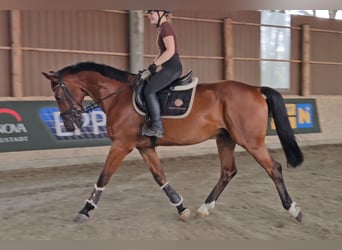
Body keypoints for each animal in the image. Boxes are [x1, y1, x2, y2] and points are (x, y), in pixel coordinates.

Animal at [41, 61, 304, 224]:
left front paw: (84, 211)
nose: (69, 125)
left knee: (274, 169)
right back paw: (203, 208)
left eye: (57, 95)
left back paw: (294, 210)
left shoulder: (121, 145)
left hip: (250, 141)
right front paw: (182, 208)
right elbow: (160, 177)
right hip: (225, 139)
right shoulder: (145, 147)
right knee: (228, 171)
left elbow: (103, 178)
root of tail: (256, 89)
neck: (119, 96)